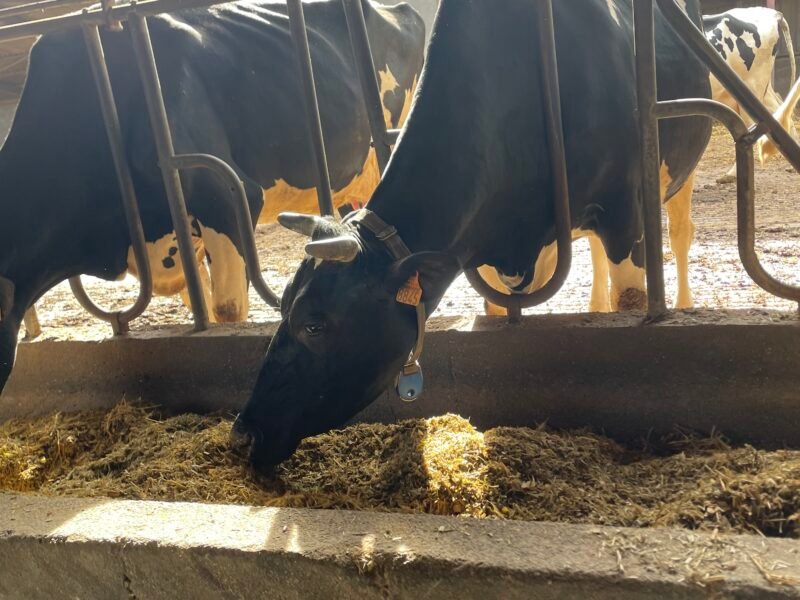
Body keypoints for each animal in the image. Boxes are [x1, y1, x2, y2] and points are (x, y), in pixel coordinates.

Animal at [228, 0, 713, 471]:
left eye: (313, 324)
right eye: (282, 307)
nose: (241, 435)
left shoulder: (623, 215)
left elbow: (629, 300)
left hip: (680, 174)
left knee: (680, 233)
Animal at [703, 7, 797, 182]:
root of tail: (772, 13)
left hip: (751, 87)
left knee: (749, 128)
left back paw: (732, 174)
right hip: (760, 89)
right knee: (779, 109)